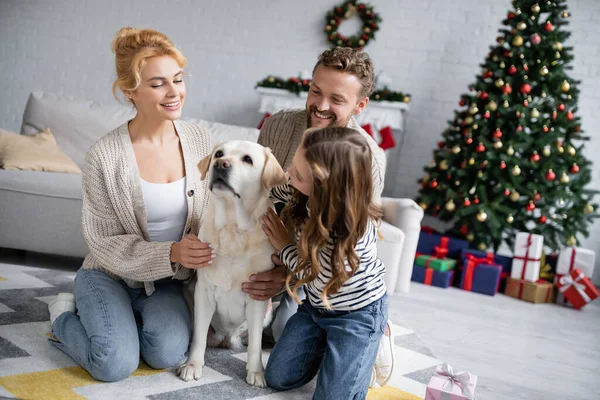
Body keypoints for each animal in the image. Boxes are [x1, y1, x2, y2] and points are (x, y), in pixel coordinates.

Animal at [177, 141, 288, 388]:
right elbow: (198, 338)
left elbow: (256, 344)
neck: (232, 227)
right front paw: (193, 365)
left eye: (247, 159)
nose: (220, 164)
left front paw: (256, 373)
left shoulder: (257, 297)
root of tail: (228, 340)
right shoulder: (204, 292)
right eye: (219, 153)